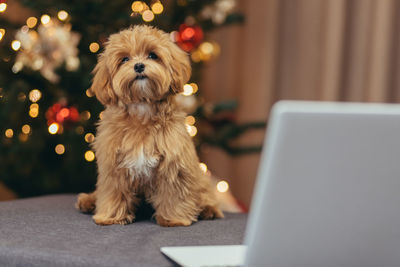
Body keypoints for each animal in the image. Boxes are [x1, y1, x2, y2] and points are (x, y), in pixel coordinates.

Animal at [74, 25, 223, 227]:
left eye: (152, 55)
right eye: (125, 59)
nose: (138, 66)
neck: (142, 110)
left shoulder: (173, 165)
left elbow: (174, 194)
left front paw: (173, 219)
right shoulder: (114, 167)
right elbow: (113, 192)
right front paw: (111, 216)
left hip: (198, 176)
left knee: (204, 193)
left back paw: (209, 209)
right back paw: (88, 201)